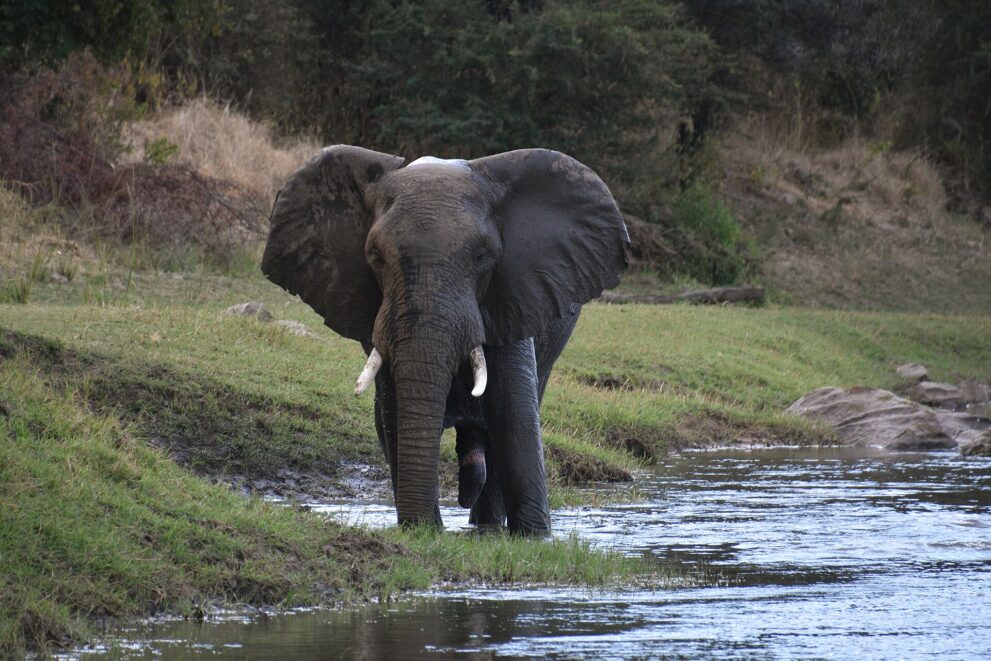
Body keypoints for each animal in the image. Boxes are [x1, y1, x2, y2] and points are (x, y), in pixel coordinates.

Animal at [261, 146, 629, 534]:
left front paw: (533, 537)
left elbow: (514, 414)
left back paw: (485, 527)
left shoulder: (513, 295)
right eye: (375, 256)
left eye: (482, 257)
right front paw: (422, 529)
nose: (422, 527)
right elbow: (394, 413)